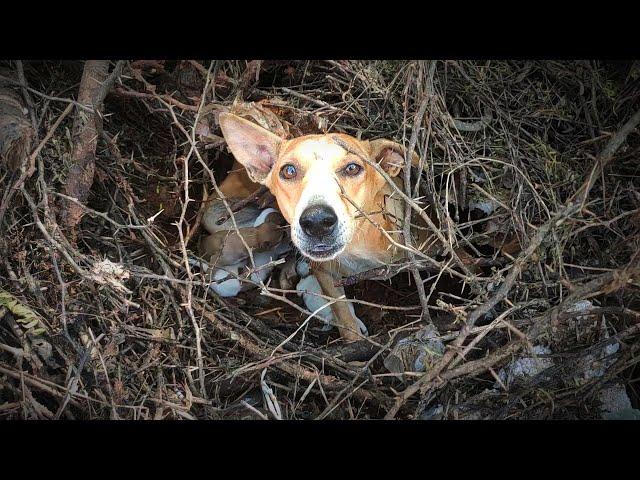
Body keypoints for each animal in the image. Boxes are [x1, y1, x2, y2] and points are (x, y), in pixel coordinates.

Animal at [212, 113, 438, 342]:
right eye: (288, 171)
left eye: (352, 168)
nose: (317, 222)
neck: (358, 248)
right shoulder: (324, 274)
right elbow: (344, 316)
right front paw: (354, 341)